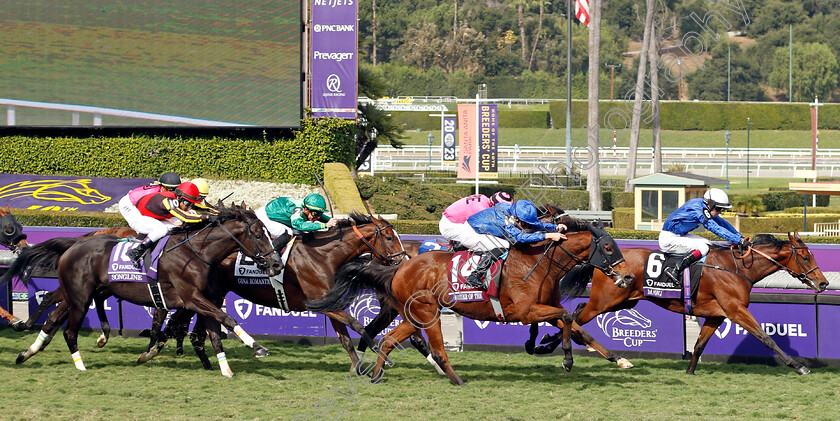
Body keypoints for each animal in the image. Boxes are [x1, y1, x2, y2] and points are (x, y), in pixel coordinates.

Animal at [0, 202, 282, 376]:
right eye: (258, 235)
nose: (276, 264)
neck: (196, 253)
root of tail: (75, 244)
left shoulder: (203, 299)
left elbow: (214, 332)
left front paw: (226, 370)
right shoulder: (191, 298)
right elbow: (226, 318)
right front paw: (258, 348)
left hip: (78, 296)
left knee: (52, 319)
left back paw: (26, 353)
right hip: (80, 298)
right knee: (68, 330)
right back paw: (79, 364)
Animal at [306, 221, 632, 386]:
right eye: (608, 247)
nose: (628, 276)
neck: (539, 264)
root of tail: (399, 267)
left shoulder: (543, 309)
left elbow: (577, 326)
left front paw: (617, 359)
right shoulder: (525, 311)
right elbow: (566, 316)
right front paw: (562, 357)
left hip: (413, 315)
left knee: (388, 339)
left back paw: (375, 375)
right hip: (428, 313)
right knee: (436, 349)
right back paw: (456, 379)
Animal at [548, 233, 832, 374]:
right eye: (805, 257)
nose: (823, 283)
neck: (736, 268)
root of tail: (605, 263)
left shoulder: (716, 315)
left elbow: (699, 344)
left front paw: (690, 371)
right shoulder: (736, 310)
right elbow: (766, 338)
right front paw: (798, 366)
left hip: (623, 303)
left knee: (575, 312)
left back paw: (553, 344)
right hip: (605, 301)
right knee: (574, 317)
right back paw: (564, 349)